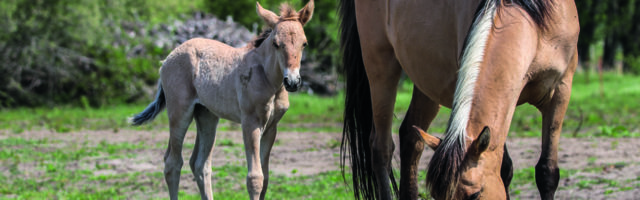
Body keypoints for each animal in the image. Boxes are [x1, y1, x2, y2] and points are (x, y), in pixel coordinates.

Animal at [132, 1, 316, 198]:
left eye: (304, 43)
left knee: (200, 164)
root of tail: (166, 59)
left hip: (206, 115)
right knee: (172, 163)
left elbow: (265, 178)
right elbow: (255, 178)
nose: (292, 82)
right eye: (276, 43)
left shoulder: (271, 127)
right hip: (179, 114)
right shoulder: (250, 123)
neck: (268, 79)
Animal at [340, 0, 580, 200]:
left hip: (426, 84)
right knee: (381, 148)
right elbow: (505, 169)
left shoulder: (561, 91)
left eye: (473, 195)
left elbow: (546, 172)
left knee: (410, 137)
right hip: (380, 67)